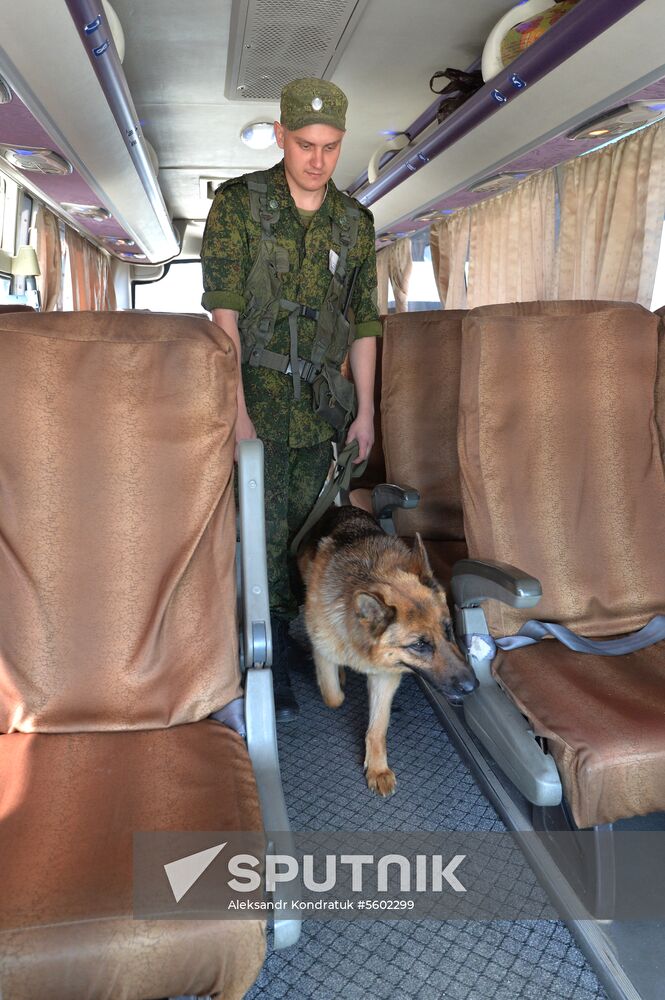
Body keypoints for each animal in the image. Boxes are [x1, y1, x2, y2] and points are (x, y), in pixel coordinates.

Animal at [300, 508, 478, 796]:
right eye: (419, 645)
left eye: (449, 629)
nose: (473, 686)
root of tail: (341, 508)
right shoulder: (323, 650)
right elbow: (333, 697)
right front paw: (338, 681)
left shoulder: (385, 678)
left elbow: (378, 727)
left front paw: (377, 769)